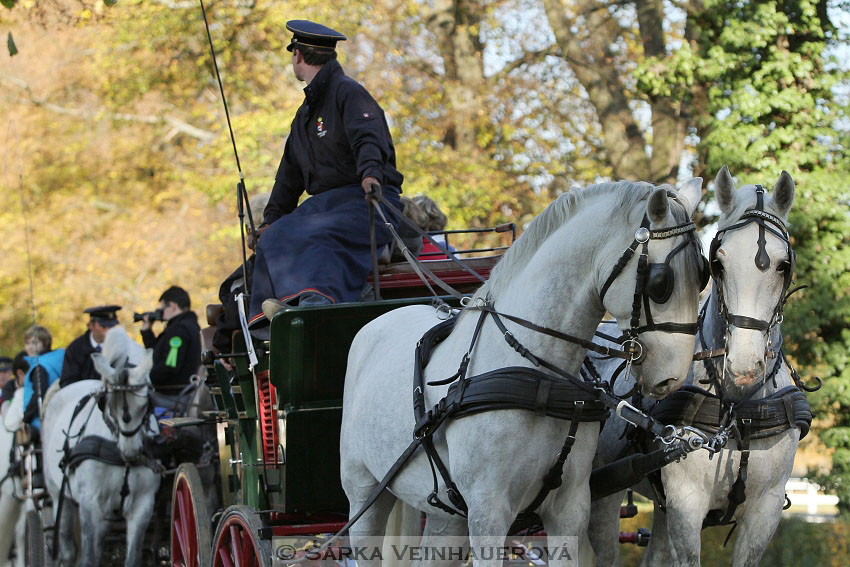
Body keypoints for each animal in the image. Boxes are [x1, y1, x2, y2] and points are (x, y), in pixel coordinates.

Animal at [41, 328, 161, 567]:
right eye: (108, 404)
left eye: (145, 404)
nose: (130, 452)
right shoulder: (90, 504)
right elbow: (88, 558)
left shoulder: (143, 505)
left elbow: (132, 559)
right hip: (60, 495)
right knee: (68, 551)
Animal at [342, 181, 704, 567]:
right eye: (660, 282)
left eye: (703, 275)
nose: (672, 377)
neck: (540, 379)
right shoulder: (488, 511)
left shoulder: (569, 509)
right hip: (365, 497)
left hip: (446, 516)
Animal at [588, 166, 800, 564]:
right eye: (718, 263)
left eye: (784, 266)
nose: (743, 366)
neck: (737, 411)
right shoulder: (686, 506)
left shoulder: (764, 513)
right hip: (602, 495)